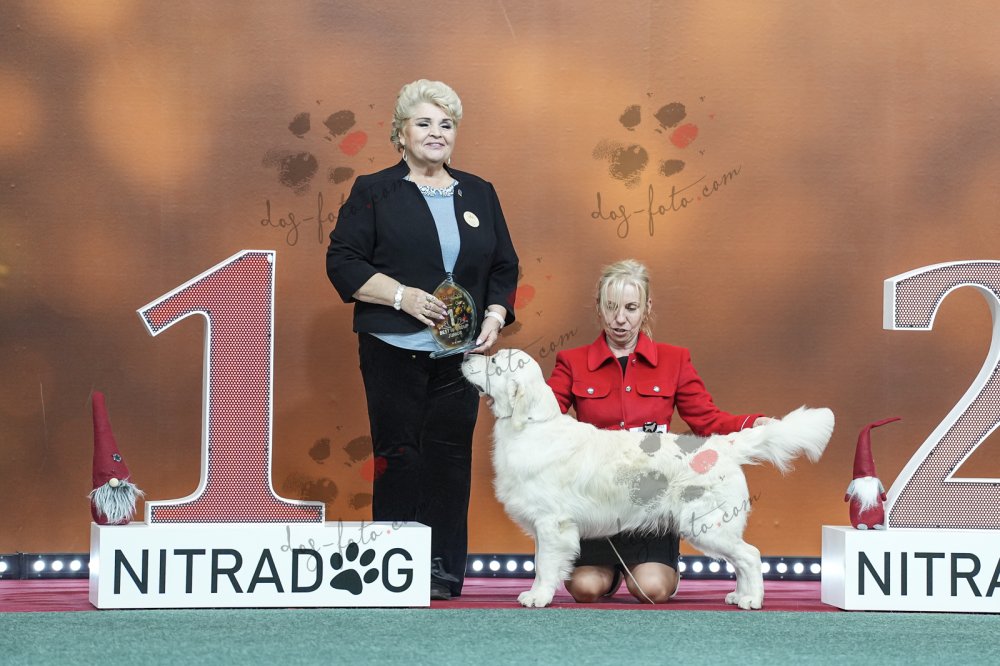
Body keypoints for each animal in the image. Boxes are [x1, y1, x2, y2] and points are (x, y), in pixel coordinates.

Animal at [461, 349, 834, 609]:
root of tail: (722, 445)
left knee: (751, 555)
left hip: (707, 524)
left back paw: (752, 599)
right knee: (741, 559)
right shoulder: (544, 526)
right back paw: (738, 595)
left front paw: (537, 596)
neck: (530, 427)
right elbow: (540, 561)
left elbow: (544, 565)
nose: (466, 355)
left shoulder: (552, 523)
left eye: (495, 362)